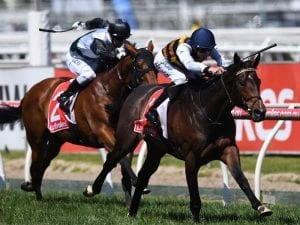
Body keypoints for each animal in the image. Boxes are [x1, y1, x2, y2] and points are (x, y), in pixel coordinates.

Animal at [0, 40, 157, 200]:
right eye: (139, 65)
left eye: (155, 65)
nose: (154, 85)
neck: (110, 91)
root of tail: (28, 94)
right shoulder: (102, 130)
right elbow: (118, 159)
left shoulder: (124, 137)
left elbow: (119, 160)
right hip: (36, 137)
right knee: (35, 166)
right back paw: (35, 194)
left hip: (57, 138)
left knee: (44, 163)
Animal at [84, 52, 272, 221]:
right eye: (241, 82)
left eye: (258, 81)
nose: (260, 111)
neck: (209, 112)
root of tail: (135, 92)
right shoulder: (191, 157)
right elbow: (194, 191)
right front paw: (196, 218)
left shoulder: (228, 149)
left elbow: (241, 178)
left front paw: (261, 207)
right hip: (127, 139)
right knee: (112, 159)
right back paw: (92, 189)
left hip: (156, 148)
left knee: (144, 174)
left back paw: (132, 212)